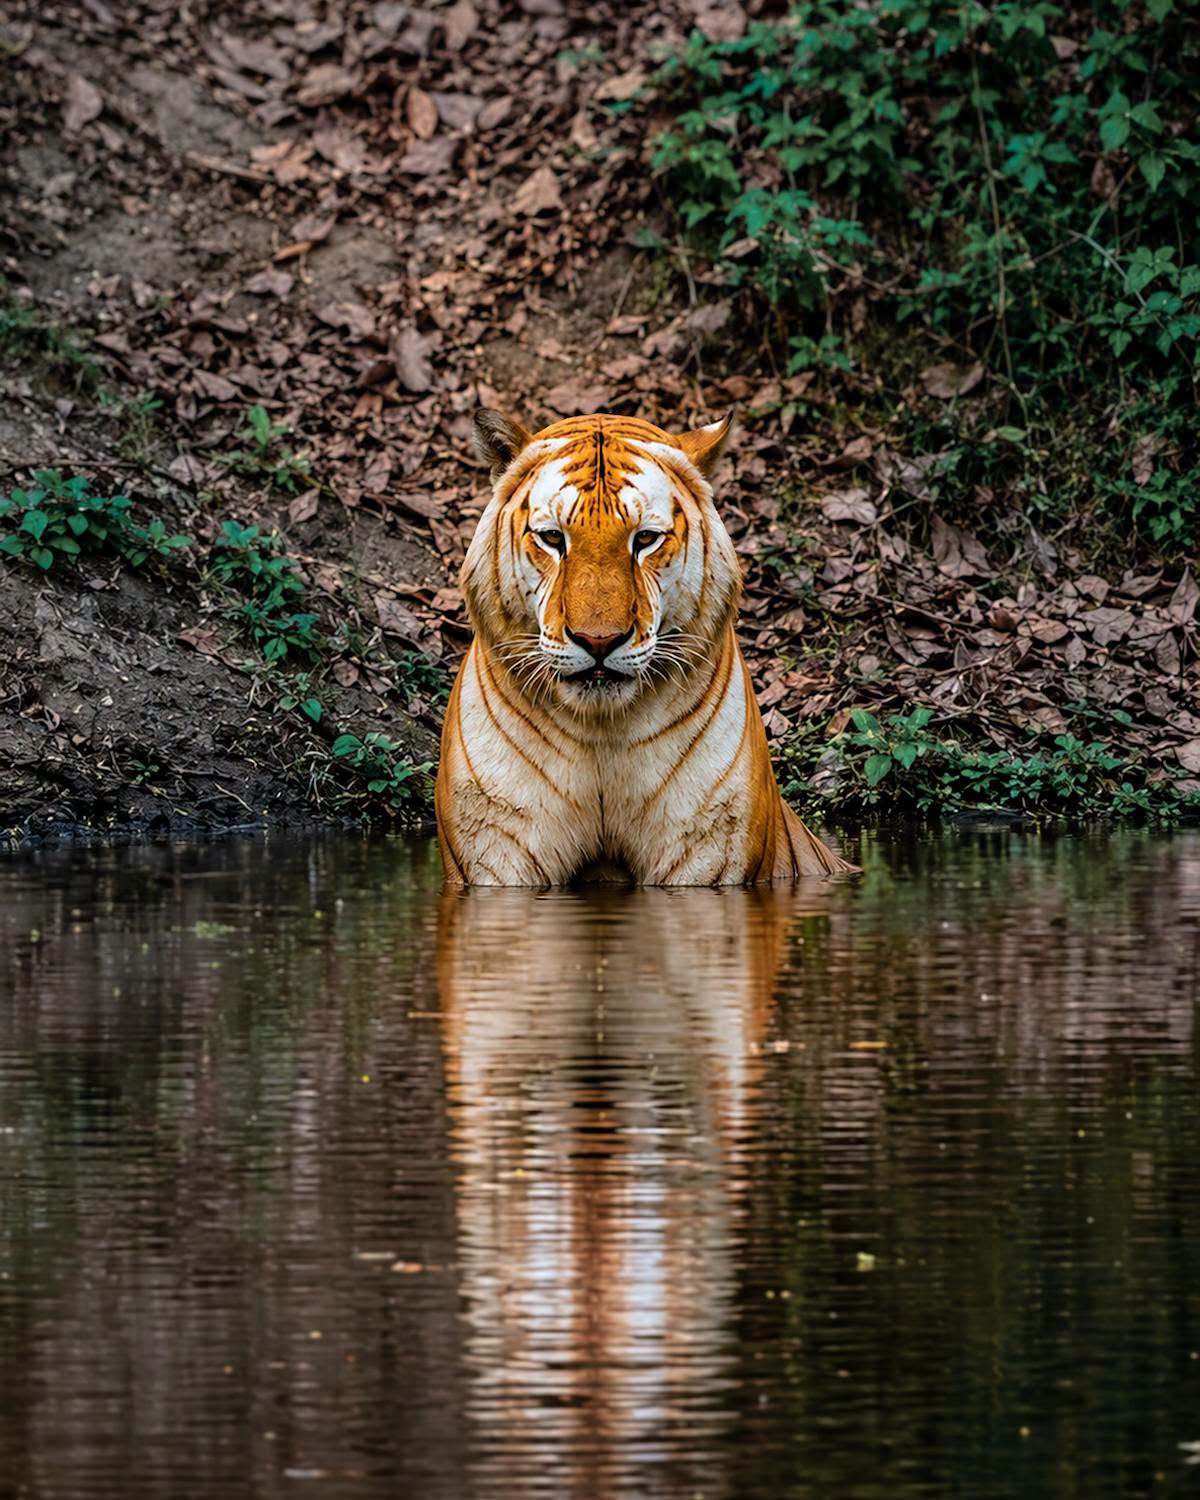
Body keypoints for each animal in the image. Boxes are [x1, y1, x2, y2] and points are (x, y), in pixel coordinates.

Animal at [435, 406, 856, 887]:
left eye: (646, 539)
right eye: (553, 538)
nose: (599, 640)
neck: (600, 733)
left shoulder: (706, 847)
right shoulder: (497, 845)